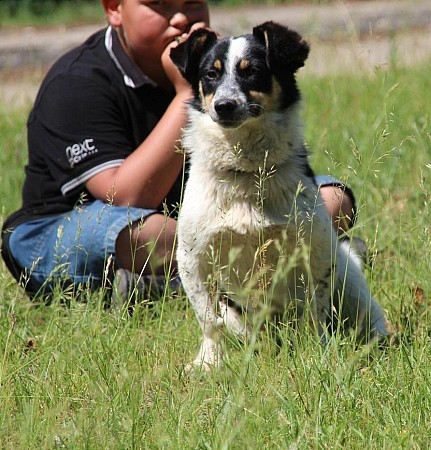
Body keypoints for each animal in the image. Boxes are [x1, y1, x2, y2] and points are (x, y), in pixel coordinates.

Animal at [170, 21, 389, 372]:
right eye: (210, 74)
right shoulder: (193, 258)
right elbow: (208, 320)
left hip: (348, 272)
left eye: (253, 71)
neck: (246, 173)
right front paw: (209, 362)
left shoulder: (316, 253)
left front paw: (315, 353)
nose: (224, 106)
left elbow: (314, 311)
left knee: (365, 313)